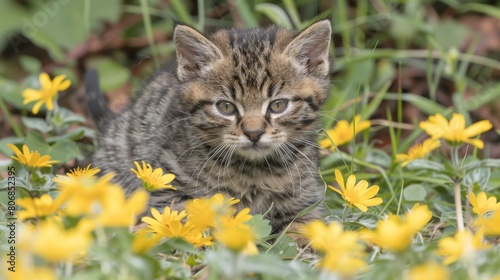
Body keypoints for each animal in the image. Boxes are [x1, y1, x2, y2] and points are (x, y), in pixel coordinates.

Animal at [91, 19, 332, 230]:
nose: (253, 133)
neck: (255, 170)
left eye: (278, 105)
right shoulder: (167, 187)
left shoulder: (304, 197)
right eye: (226, 107)